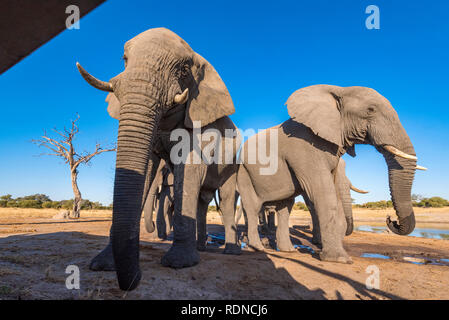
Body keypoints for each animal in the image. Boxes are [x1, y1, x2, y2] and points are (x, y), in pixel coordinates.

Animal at [76, 28, 242, 292]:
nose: (136, 278)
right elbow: (145, 170)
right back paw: (202, 248)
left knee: (226, 200)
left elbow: (190, 169)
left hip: (233, 163)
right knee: (202, 202)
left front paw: (178, 264)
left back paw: (230, 252)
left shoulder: (198, 124)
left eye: (184, 70)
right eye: (124, 59)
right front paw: (102, 265)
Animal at [236, 84, 426, 262]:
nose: (390, 219)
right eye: (370, 110)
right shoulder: (304, 148)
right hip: (244, 172)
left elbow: (335, 195)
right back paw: (257, 247)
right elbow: (324, 195)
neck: (339, 90)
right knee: (253, 206)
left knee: (285, 207)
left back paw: (288, 251)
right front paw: (340, 260)